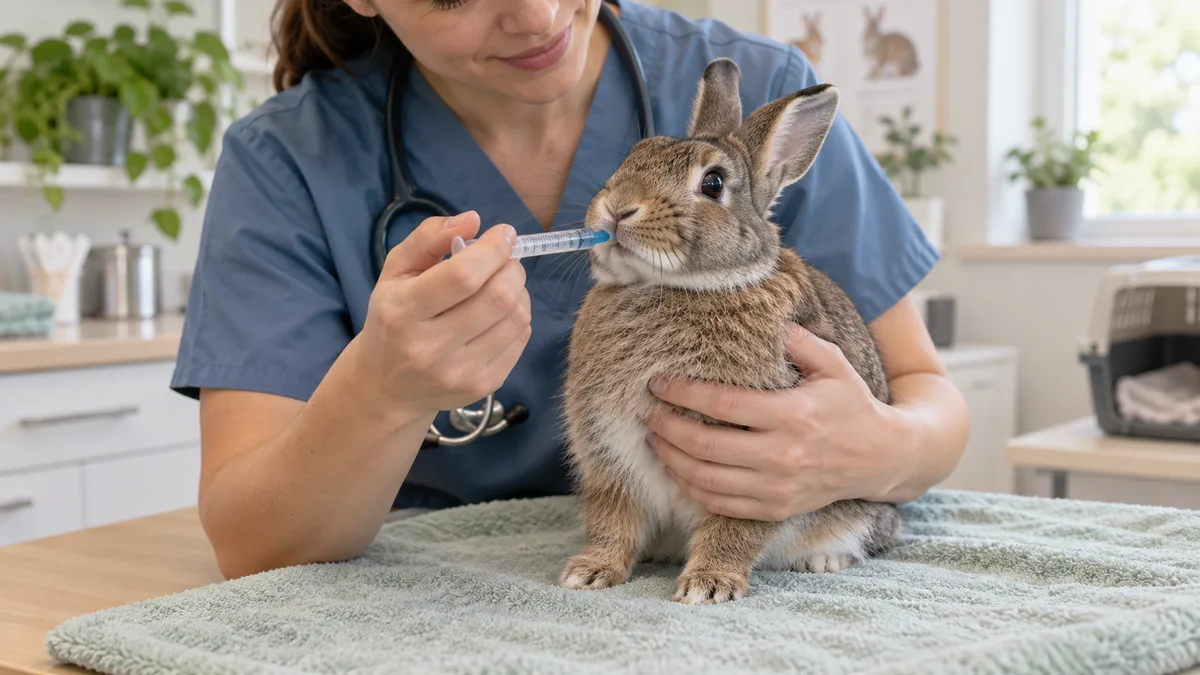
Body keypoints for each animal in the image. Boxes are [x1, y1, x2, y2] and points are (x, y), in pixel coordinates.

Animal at [557, 57, 902, 606]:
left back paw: (823, 560)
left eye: (714, 183)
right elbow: (614, 520)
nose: (617, 208)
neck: (678, 287)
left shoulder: (751, 477)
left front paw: (709, 585)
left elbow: (733, 529)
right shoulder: (610, 458)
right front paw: (590, 572)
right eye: (633, 157)